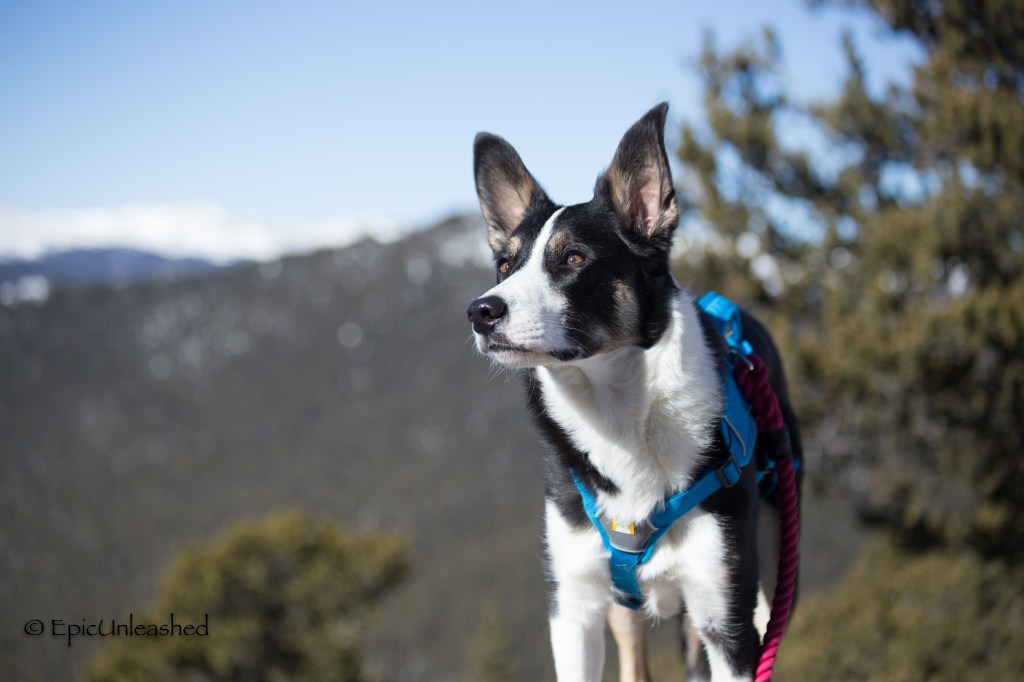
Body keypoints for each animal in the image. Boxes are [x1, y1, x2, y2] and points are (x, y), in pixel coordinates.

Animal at [466, 103, 801, 682]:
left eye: (573, 260)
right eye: (505, 266)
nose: (481, 312)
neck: (619, 418)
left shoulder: (729, 622)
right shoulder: (574, 611)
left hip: (772, 575)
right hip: (620, 609)